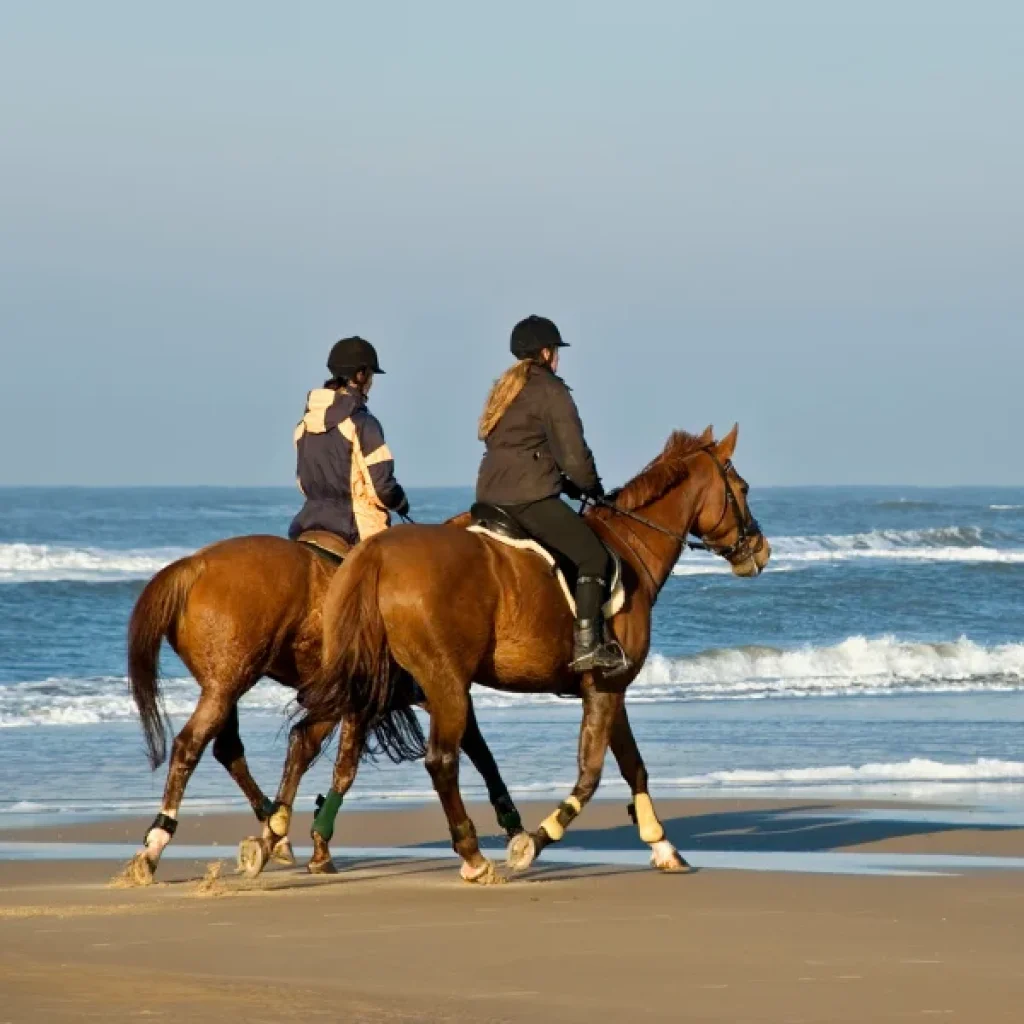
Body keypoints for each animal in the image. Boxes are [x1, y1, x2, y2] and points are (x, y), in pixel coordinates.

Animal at [123, 532, 523, 885]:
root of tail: (195, 565)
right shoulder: (428, 692)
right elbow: (347, 768)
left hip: (224, 686)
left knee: (226, 749)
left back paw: (270, 828)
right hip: (227, 684)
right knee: (191, 745)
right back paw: (157, 844)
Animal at [296, 425, 770, 883]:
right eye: (743, 488)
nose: (760, 550)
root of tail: (378, 553)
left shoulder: (610, 690)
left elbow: (634, 765)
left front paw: (663, 846)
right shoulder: (606, 687)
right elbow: (590, 776)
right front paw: (534, 842)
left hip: (382, 681)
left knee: (341, 749)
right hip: (444, 685)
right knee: (440, 761)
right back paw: (473, 858)